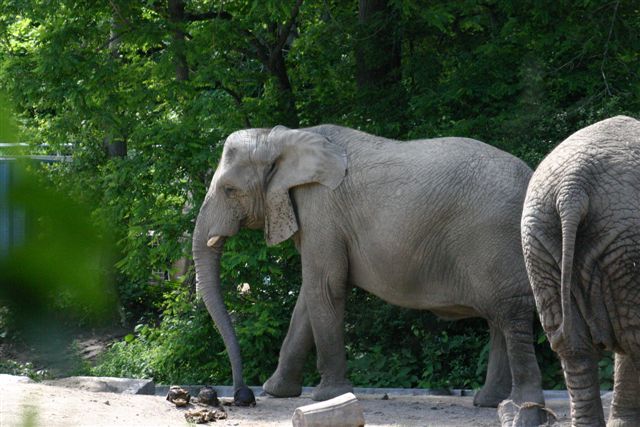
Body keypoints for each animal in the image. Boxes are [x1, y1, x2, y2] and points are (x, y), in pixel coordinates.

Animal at [192, 124, 545, 423]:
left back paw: (520, 408)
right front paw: (276, 391)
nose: (242, 395)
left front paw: (326, 396)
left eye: (229, 189)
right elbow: (308, 296)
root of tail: (532, 174)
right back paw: (489, 402)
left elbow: (324, 286)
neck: (280, 138)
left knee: (511, 313)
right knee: (499, 316)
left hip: (495, 238)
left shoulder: (321, 208)